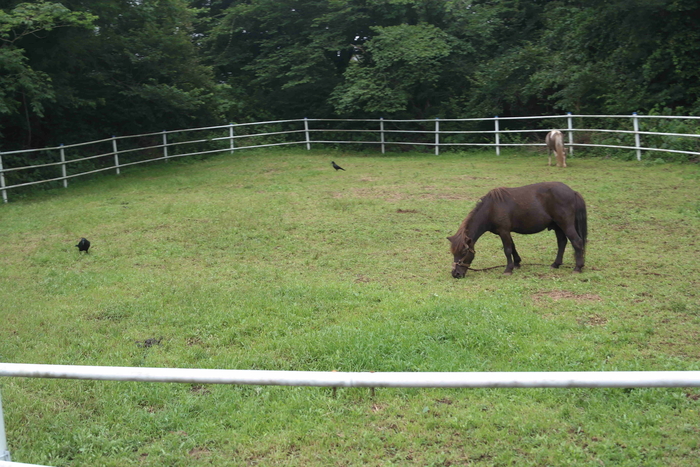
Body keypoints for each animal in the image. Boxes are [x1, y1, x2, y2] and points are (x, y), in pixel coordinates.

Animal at [448, 182, 584, 278]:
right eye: (453, 253)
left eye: (464, 252)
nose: (456, 274)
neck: (491, 208)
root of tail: (572, 192)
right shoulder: (506, 232)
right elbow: (513, 247)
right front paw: (517, 263)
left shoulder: (503, 231)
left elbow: (507, 250)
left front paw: (508, 270)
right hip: (558, 226)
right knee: (562, 242)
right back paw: (555, 264)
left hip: (565, 225)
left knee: (577, 242)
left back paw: (578, 268)